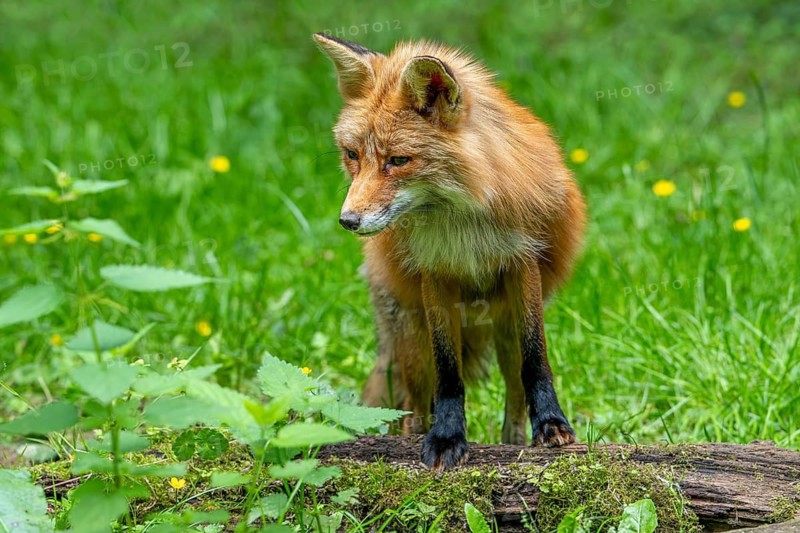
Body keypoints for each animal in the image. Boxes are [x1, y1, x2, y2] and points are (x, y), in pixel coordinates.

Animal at [313, 33, 587, 470]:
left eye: (398, 160)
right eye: (352, 155)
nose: (348, 221)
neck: (460, 221)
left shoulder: (522, 262)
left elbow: (536, 363)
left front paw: (550, 425)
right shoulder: (435, 275)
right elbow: (449, 374)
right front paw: (446, 438)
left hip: (504, 328)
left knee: (513, 391)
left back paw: (513, 440)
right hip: (412, 342)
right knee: (412, 407)